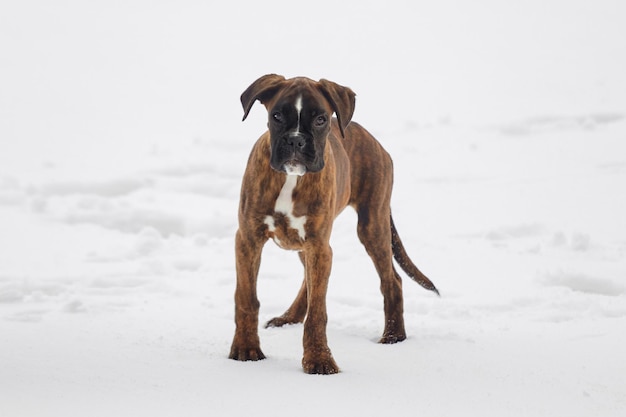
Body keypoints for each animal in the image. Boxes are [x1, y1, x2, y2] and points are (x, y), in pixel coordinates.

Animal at [229, 75, 438, 374]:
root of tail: (374, 141)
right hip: (311, 244)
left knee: (392, 280)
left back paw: (393, 336)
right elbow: (247, 298)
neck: (290, 179)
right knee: (307, 281)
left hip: (371, 225)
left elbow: (318, 312)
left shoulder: (319, 246)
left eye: (321, 119)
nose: (296, 141)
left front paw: (319, 360)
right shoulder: (248, 239)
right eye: (276, 116)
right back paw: (288, 318)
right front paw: (246, 349)